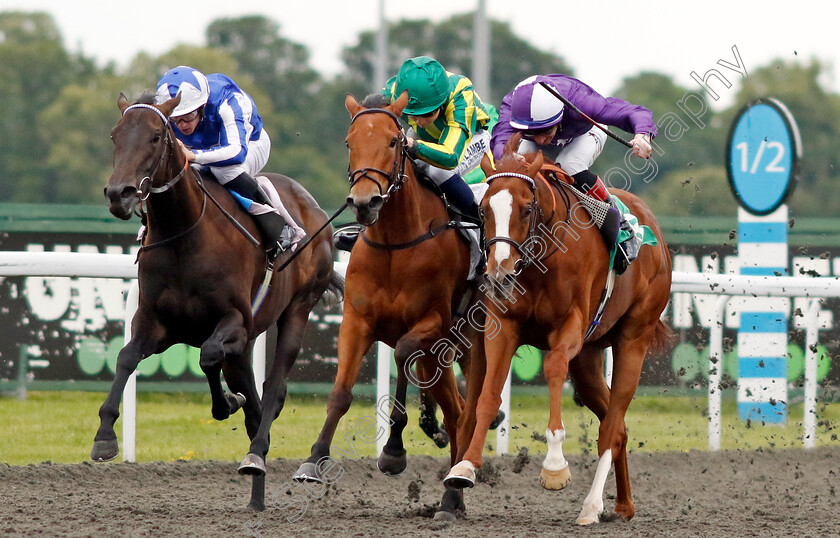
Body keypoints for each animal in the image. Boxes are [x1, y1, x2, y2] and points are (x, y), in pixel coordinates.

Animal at [94, 90, 338, 508]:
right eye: (114, 136)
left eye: (156, 137)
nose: (118, 194)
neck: (184, 237)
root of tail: (314, 206)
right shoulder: (154, 323)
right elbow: (126, 357)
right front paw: (105, 436)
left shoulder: (235, 321)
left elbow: (208, 355)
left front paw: (226, 404)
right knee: (254, 399)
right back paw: (256, 484)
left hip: (298, 308)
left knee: (273, 387)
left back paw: (255, 453)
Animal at [294, 91, 480, 516]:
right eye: (349, 143)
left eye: (394, 142)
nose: (365, 202)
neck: (397, 243)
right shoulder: (356, 320)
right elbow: (340, 392)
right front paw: (314, 460)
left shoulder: (433, 323)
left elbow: (403, 354)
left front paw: (393, 452)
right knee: (457, 410)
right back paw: (453, 494)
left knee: (465, 412)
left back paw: (451, 494)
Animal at [442, 134, 672, 524]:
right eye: (484, 210)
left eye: (524, 209)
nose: (499, 273)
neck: (540, 258)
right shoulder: (503, 325)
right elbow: (489, 395)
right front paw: (465, 468)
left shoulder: (571, 325)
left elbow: (551, 368)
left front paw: (553, 466)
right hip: (588, 360)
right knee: (617, 425)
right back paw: (623, 505)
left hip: (633, 340)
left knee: (612, 427)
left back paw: (591, 506)